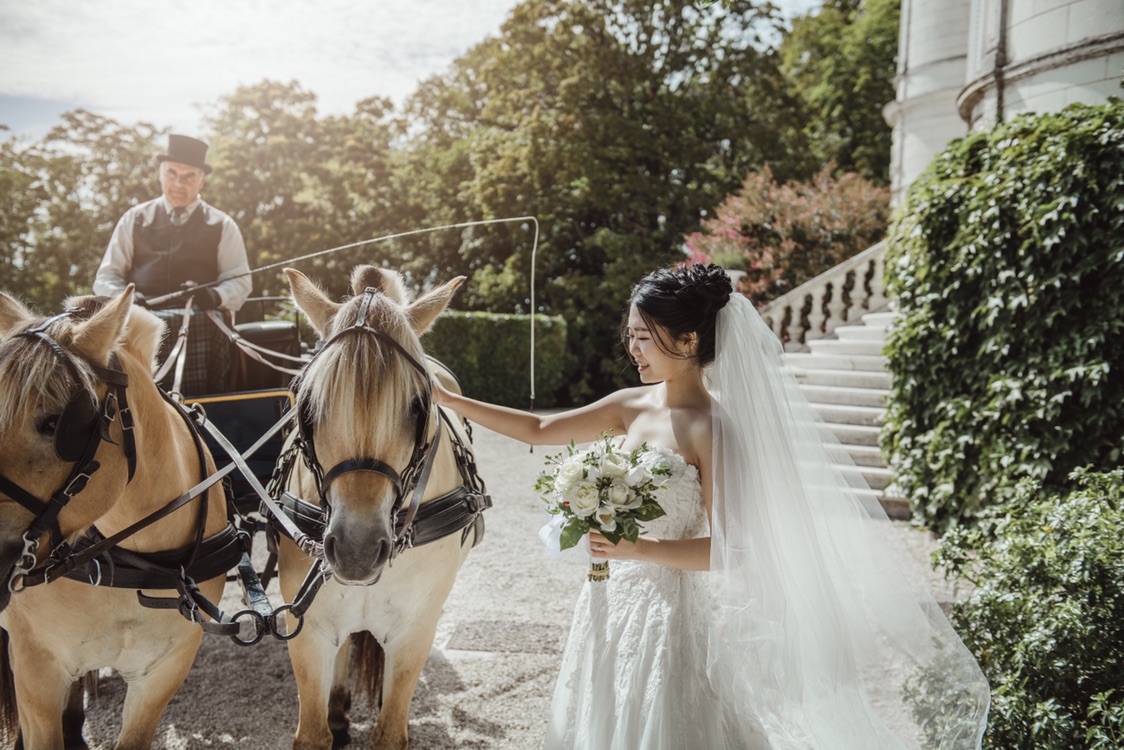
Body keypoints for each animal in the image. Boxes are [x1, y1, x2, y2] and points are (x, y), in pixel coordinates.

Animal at [274, 266, 490, 746]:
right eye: (307, 405)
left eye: (419, 405)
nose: (356, 549)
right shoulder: (308, 630)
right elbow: (311, 734)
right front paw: (330, 720)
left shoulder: (415, 632)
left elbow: (390, 732)